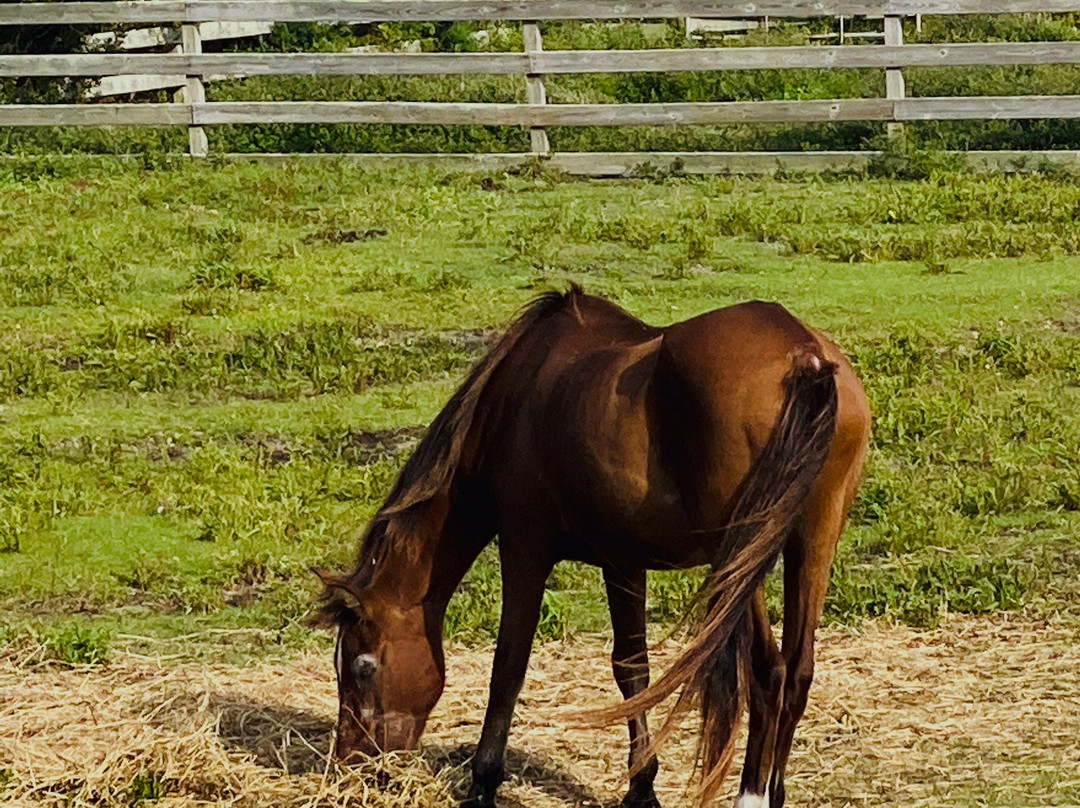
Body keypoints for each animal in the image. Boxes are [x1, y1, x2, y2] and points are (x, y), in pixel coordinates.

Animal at [315, 287, 872, 803]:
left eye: (362, 668)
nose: (351, 763)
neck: (513, 402)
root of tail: (805, 356)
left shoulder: (524, 547)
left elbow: (508, 666)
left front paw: (484, 782)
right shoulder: (623, 562)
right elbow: (632, 670)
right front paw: (641, 787)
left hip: (738, 556)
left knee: (769, 673)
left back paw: (751, 793)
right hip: (813, 540)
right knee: (797, 673)